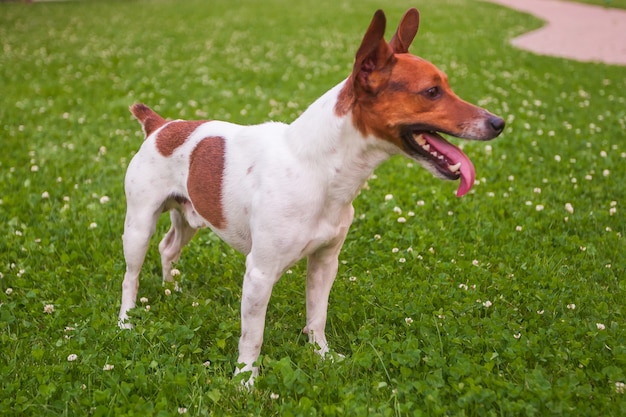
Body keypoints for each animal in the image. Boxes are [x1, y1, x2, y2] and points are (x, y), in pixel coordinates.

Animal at [119, 7, 504, 384]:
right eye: (432, 92)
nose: (499, 123)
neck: (316, 168)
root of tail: (159, 126)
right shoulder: (259, 273)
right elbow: (253, 336)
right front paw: (245, 381)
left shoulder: (324, 262)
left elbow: (317, 316)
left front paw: (322, 356)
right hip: (138, 227)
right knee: (131, 276)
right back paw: (126, 321)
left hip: (189, 218)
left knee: (168, 248)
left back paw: (172, 290)